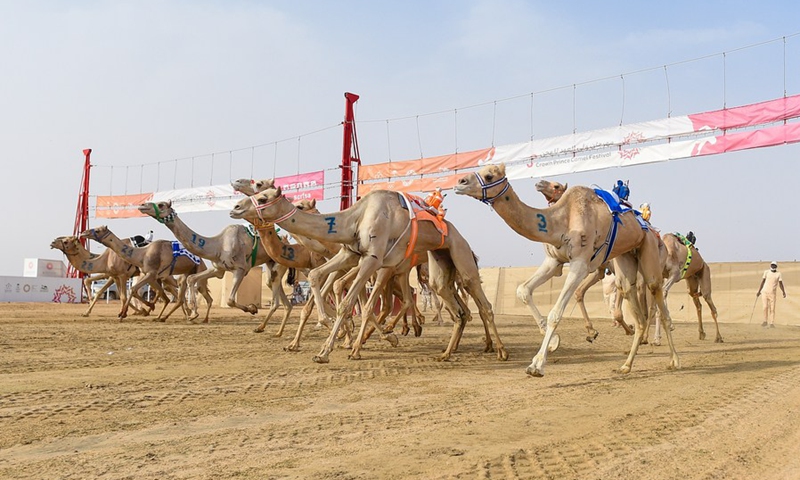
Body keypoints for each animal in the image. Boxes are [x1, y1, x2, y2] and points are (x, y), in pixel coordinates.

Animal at [80, 226, 213, 323]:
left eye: (98, 230)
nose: (83, 232)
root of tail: (201, 259)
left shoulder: (140, 274)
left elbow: (130, 291)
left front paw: (123, 314)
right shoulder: (118, 275)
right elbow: (122, 292)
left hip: (190, 272)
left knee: (187, 291)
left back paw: (191, 314)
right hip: (181, 274)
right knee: (176, 293)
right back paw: (174, 316)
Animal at [137, 201, 293, 328]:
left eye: (161, 205)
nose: (142, 205)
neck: (219, 244)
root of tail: (285, 240)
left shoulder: (241, 269)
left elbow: (230, 300)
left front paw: (253, 308)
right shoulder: (218, 269)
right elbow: (191, 279)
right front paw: (193, 314)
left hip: (280, 262)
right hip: (270, 263)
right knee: (273, 285)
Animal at [230, 186, 508, 364]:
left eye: (263, 197)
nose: (235, 207)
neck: (355, 218)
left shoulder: (373, 259)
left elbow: (348, 303)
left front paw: (326, 350)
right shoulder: (350, 254)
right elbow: (319, 276)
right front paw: (331, 330)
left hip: (458, 254)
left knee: (481, 303)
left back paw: (499, 351)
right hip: (439, 261)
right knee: (457, 309)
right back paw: (446, 353)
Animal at [454, 163, 679, 376]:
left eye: (489, 175)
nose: (460, 182)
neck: (561, 220)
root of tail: (650, 227)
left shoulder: (580, 264)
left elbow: (555, 313)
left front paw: (537, 365)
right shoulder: (553, 261)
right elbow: (523, 290)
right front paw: (554, 341)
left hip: (648, 249)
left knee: (657, 295)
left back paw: (674, 360)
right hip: (625, 256)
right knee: (630, 298)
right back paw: (626, 365)